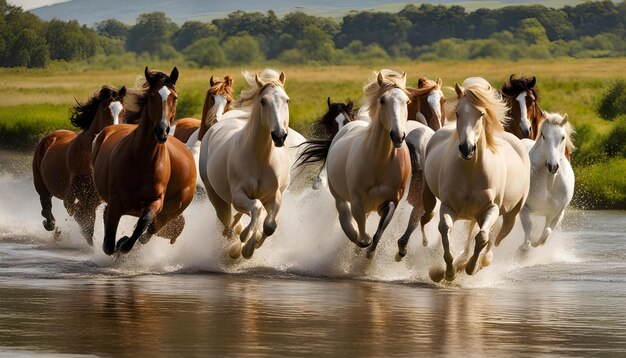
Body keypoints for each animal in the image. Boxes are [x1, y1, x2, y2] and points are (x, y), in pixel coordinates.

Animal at [31, 85, 127, 245]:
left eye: (123, 110)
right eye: (105, 110)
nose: (115, 132)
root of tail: (50, 137)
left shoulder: (94, 197)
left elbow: (87, 218)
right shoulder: (72, 193)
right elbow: (76, 212)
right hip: (40, 182)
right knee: (46, 203)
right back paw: (50, 225)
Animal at [91, 67, 195, 256]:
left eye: (174, 97)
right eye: (152, 96)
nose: (162, 130)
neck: (142, 159)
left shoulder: (155, 202)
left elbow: (143, 223)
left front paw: (124, 244)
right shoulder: (116, 201)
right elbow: (108, 243)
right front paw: (117, 245)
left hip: (171, 211)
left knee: (150, 232)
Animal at [197, 69, 290, 260]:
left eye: (286, 100)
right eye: (263, 101)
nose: (279, 136)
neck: (260, 158)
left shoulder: (274, 196)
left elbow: (269, 226)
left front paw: (251, 245)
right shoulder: (238, 196)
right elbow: (256, 208)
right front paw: (244, 243)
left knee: (236, 219)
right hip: (216, 196)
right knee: (225, 223)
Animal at [416, 77, 528, 282]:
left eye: (481, 113)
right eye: (458, 113)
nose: (467, 148)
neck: (471, 171)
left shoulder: (491, 209)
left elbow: (483, 237)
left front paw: (470, 267)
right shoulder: (448, 206)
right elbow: (445, 230)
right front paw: (447, 272)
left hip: (510, 214)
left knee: (495, 238)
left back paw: (480, 261)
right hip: (432, 202)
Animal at [516, 112, 576, 252]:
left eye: (563, 137)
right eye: (543, 135)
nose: (552, 166)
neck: (549, 182)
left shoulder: (556, 213)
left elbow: (546, 232)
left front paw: (535, 243)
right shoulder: (524, 208)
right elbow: (529, 226)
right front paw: (524, 248)